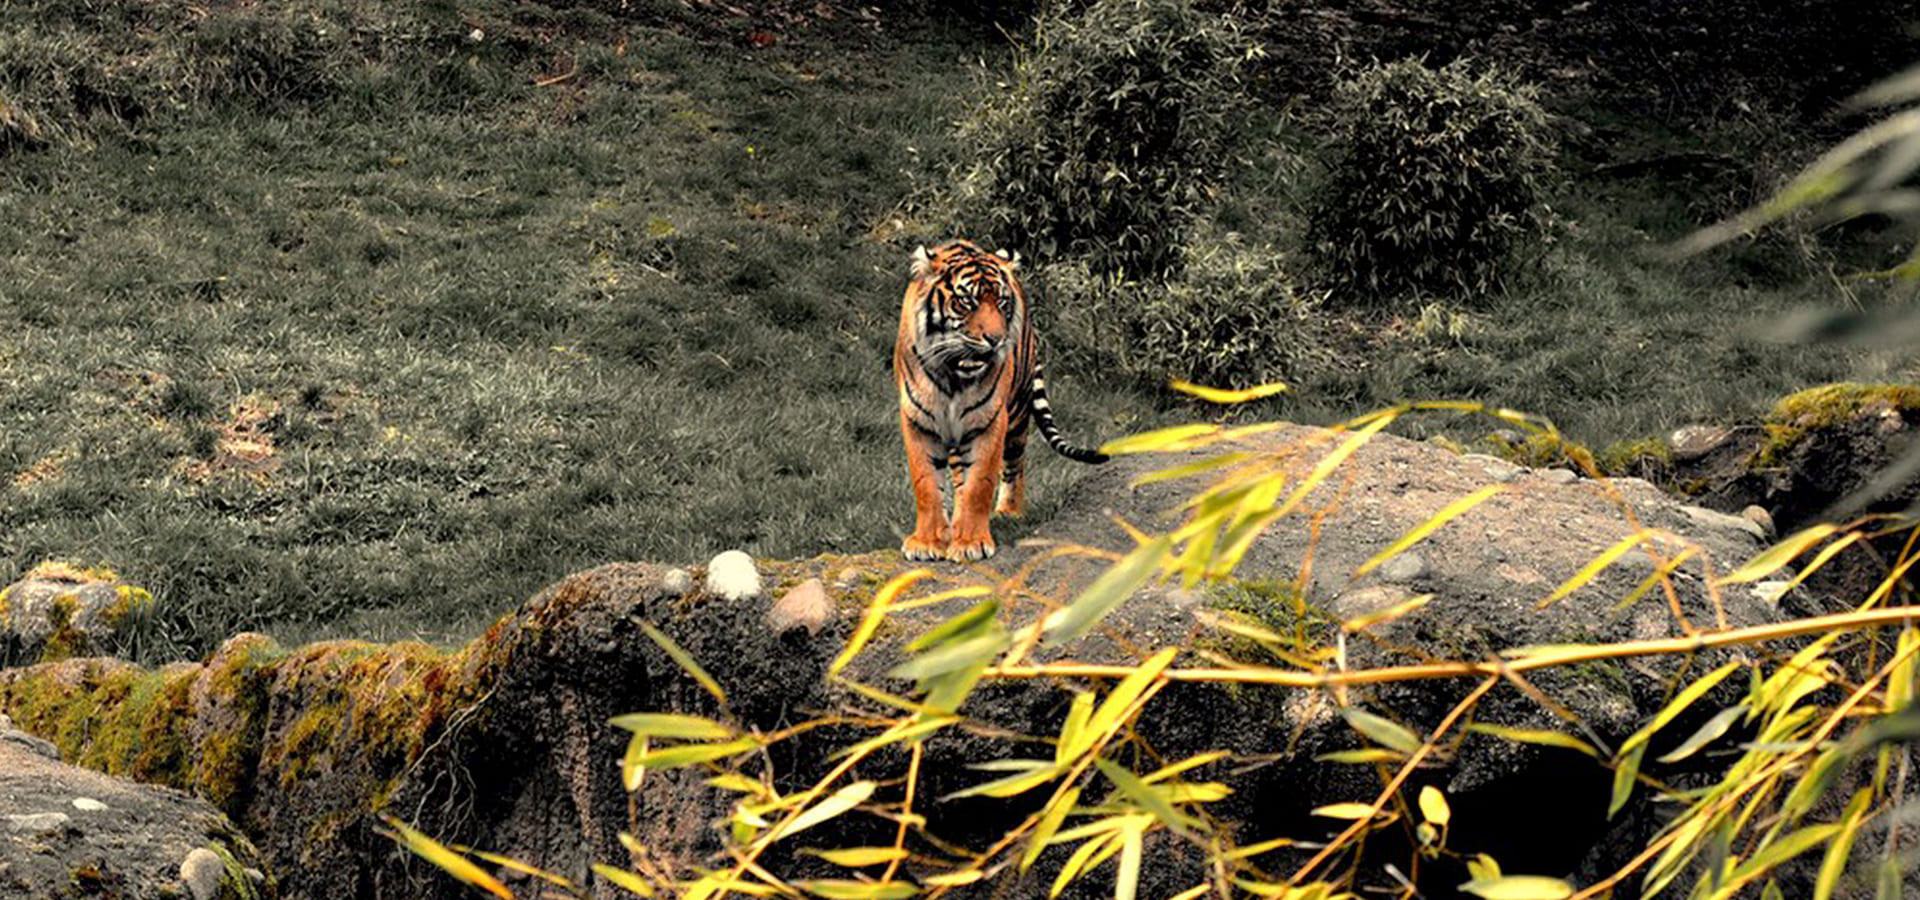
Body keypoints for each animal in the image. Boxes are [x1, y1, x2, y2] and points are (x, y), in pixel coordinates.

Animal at [894, 239, 1109, 562]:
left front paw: (971, 543)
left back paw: (1009, 511)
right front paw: (927, 542)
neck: (953, 376)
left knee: (1014, 464)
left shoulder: (989, 421)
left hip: (1018, 415)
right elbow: (927, 484)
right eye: (966, 301)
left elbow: (980, 484)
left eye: (1002, 303)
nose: (996, 340)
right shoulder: (919, 421)